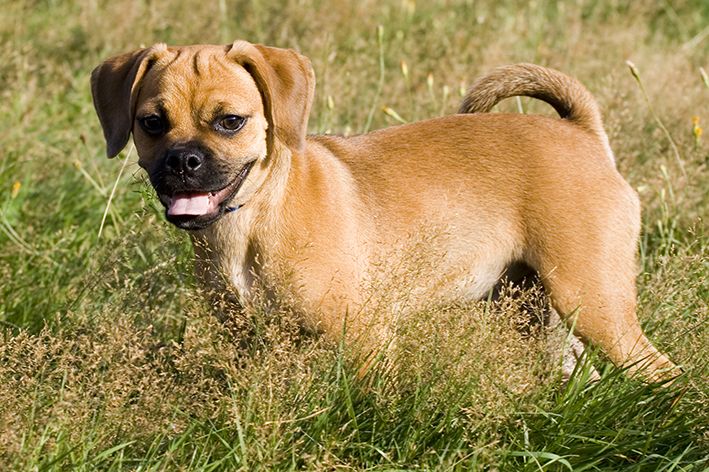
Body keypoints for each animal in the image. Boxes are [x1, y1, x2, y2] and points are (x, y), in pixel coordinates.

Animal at [92, 40, 676, 380]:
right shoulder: (250, 344)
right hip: (538, 313)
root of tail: (582, 132)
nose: (182, 162)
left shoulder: (365, 339)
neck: (252, 220)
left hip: (594, 303)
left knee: (663, 372)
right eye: (151, 123)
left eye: (230, 121)